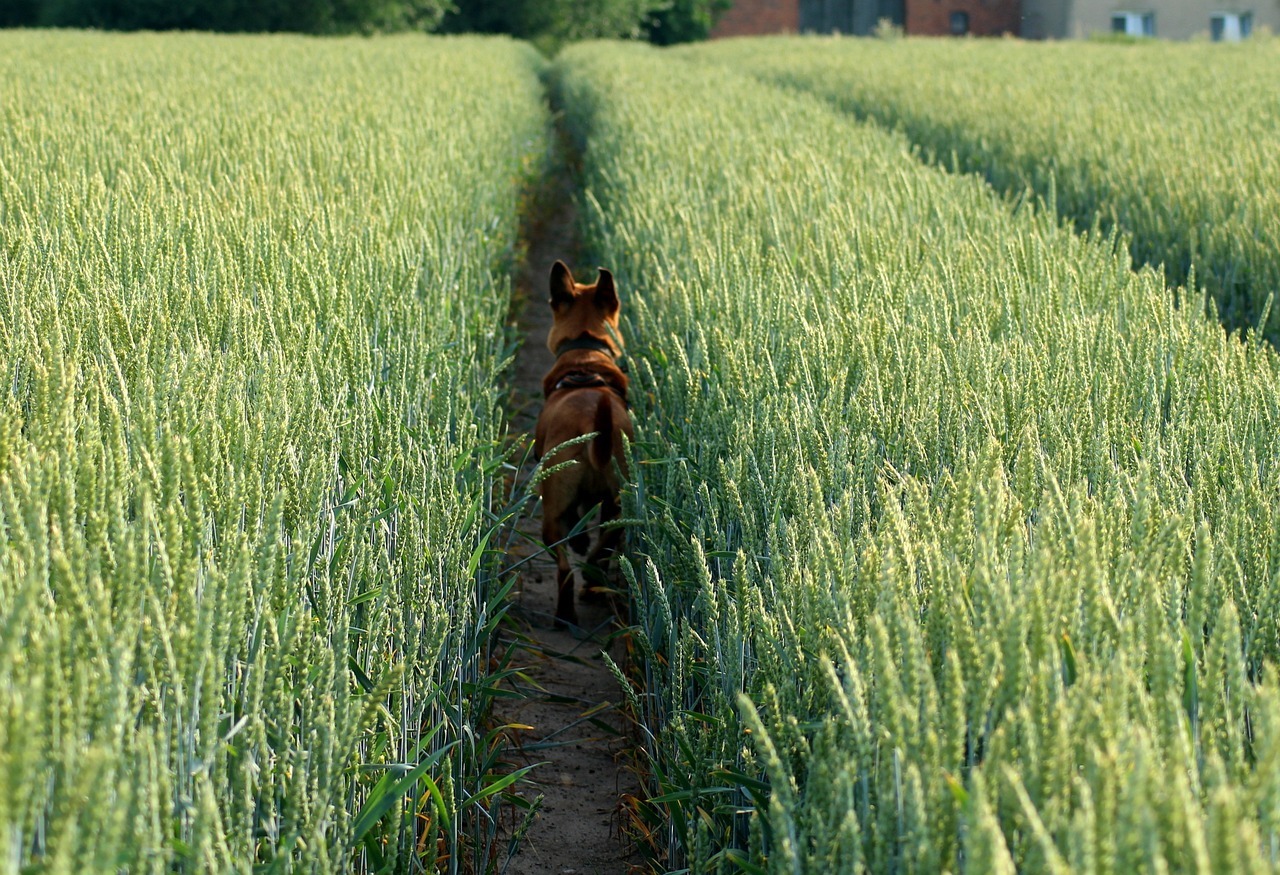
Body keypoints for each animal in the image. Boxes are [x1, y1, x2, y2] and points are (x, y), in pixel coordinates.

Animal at [532, 263, 632, 624]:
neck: (585, 355)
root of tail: (593, 425)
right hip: (621, 498)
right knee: (607, 542)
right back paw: (593, 581)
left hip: (550, 510)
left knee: (564, 567)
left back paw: (565, 613)